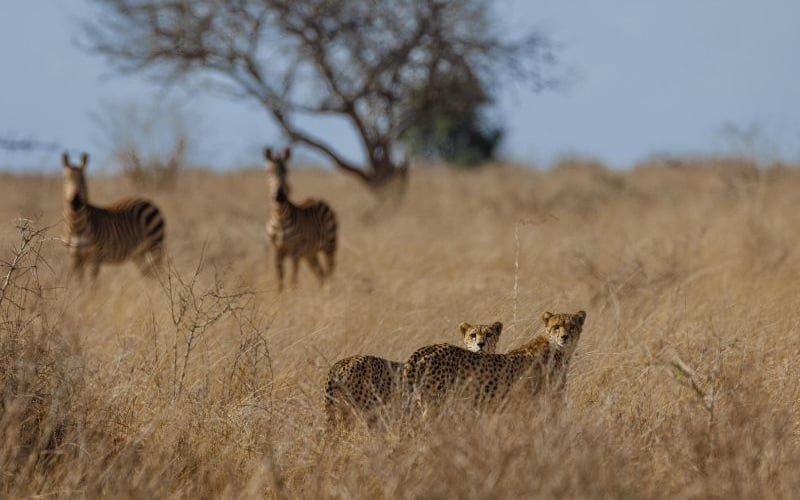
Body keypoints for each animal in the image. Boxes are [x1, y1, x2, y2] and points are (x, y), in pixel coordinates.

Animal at [324, 321, 503, 429]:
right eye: (473, 335)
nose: (481, 344)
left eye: (489, 334)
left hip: (344, 412)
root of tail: (340, 363)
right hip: (369, 411)